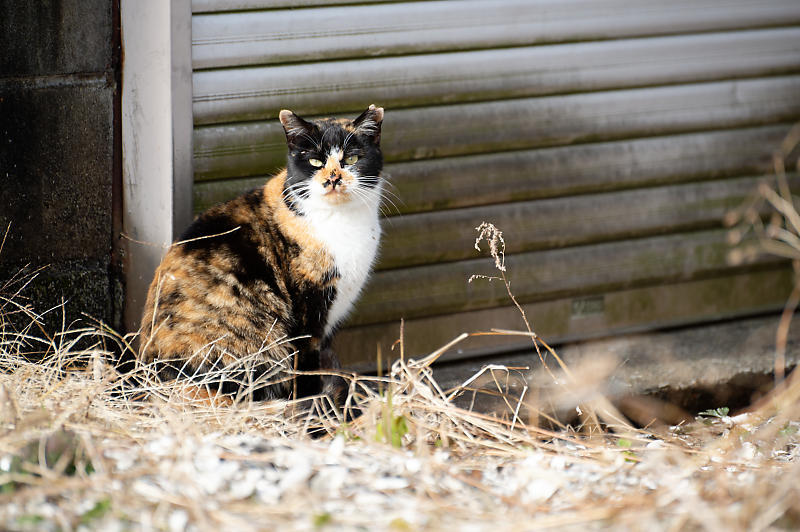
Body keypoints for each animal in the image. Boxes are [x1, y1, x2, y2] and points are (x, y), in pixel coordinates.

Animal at [138, 105, 384, 404]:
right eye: (315, 162)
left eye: (352, 158)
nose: (333, 179)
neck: (341, 220)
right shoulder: (307, 310)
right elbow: (307, 365)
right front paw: (313, 401)